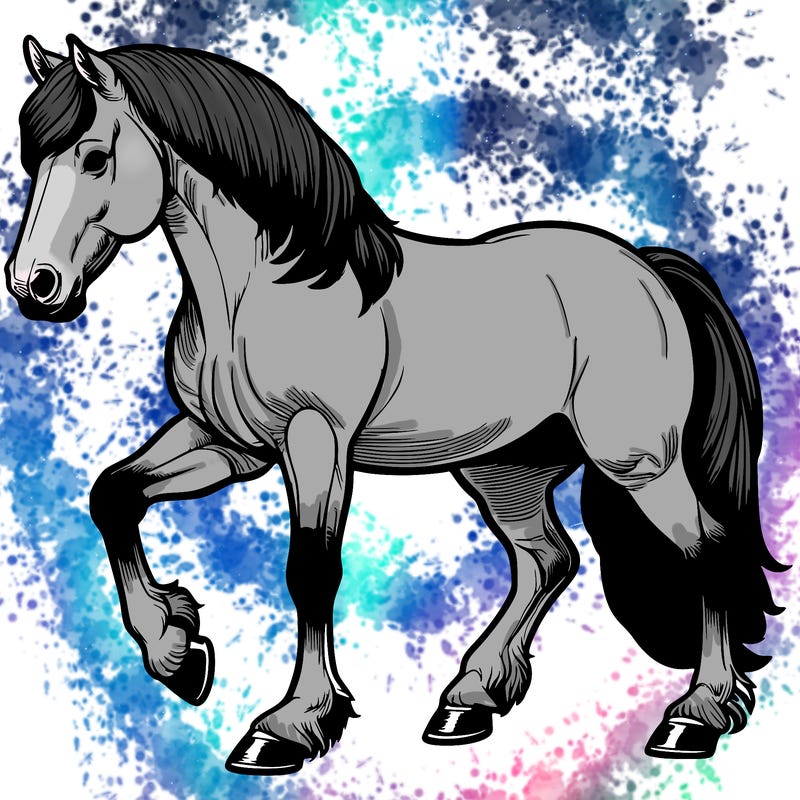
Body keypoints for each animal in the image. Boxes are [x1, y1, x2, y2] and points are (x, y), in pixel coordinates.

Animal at [5, 34, 783, 775]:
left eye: (96, 156)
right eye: (32, 160)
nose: (35, 286)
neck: (266, 286)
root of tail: (648, 268)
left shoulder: (315, 442)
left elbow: (311, 570)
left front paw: (287, 727)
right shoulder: (228, 443)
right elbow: (115, 495)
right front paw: (177, 650)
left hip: (640, 462)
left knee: (705, 549)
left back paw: (696, 717)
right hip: (506, 468)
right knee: (547, 559)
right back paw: (469, 700)